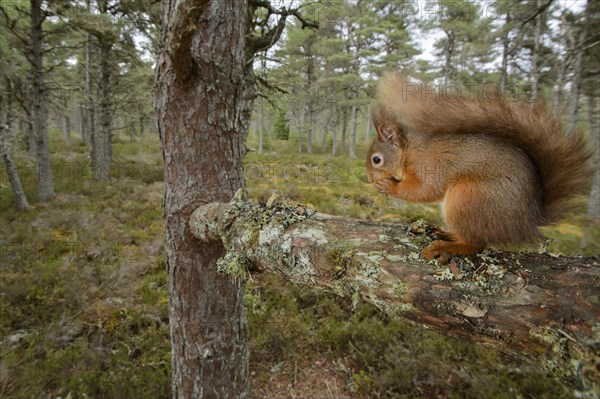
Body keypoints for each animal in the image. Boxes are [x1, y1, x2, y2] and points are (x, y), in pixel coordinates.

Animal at [366, 73, 592, 264]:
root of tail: (527, 221)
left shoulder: (429, 165)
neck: (409, 151)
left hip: (469, 198)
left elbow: (426, 189)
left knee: (477, 243)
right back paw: (447, 233)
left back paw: (446, 247)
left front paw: (388, 186)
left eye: (376, 159)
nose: (370, 179)